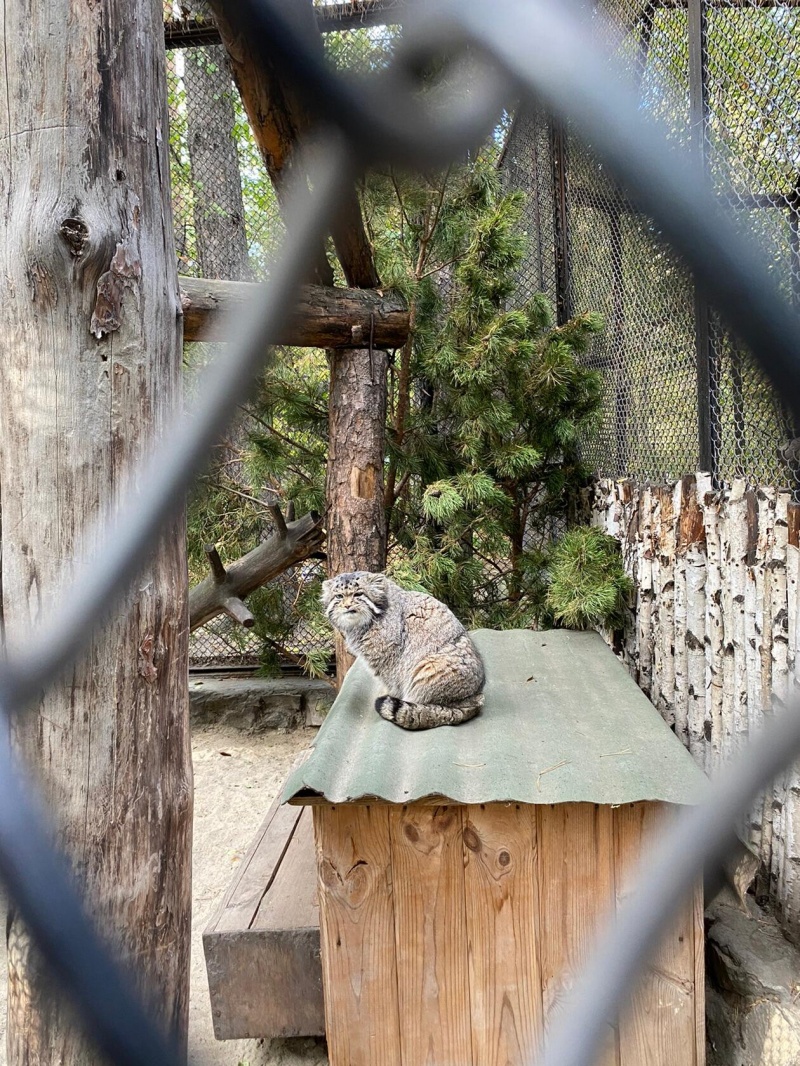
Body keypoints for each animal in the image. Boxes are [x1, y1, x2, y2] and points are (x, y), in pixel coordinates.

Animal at [321, 571, 485, 730]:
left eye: (358, 594)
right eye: (339, 596)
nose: (347, 606)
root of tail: (472, 702)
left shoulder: (389, 656)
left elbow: (391, 679)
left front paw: (390, 693)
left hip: (429, 667)